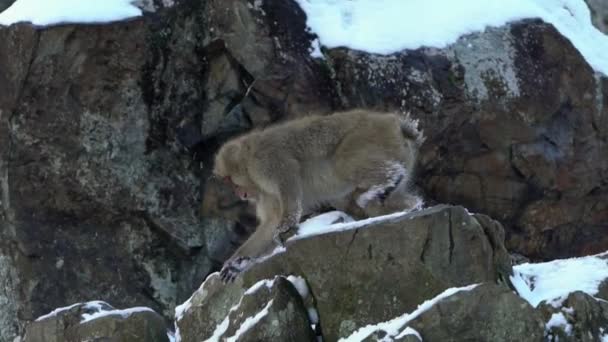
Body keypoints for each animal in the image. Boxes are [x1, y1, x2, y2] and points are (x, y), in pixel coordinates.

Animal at [213, 109, 422, 280]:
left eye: (230, 180)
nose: (239, 194)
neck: (248, 159)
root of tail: (394, 122)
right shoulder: (265, 194)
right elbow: (269, 223)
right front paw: (236, 263)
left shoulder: (265, 162)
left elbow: (288, 177)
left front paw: (286, 224)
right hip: (400, 152)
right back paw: (408, 203)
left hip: (369, 136)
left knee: (344, 163)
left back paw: (388, 181)